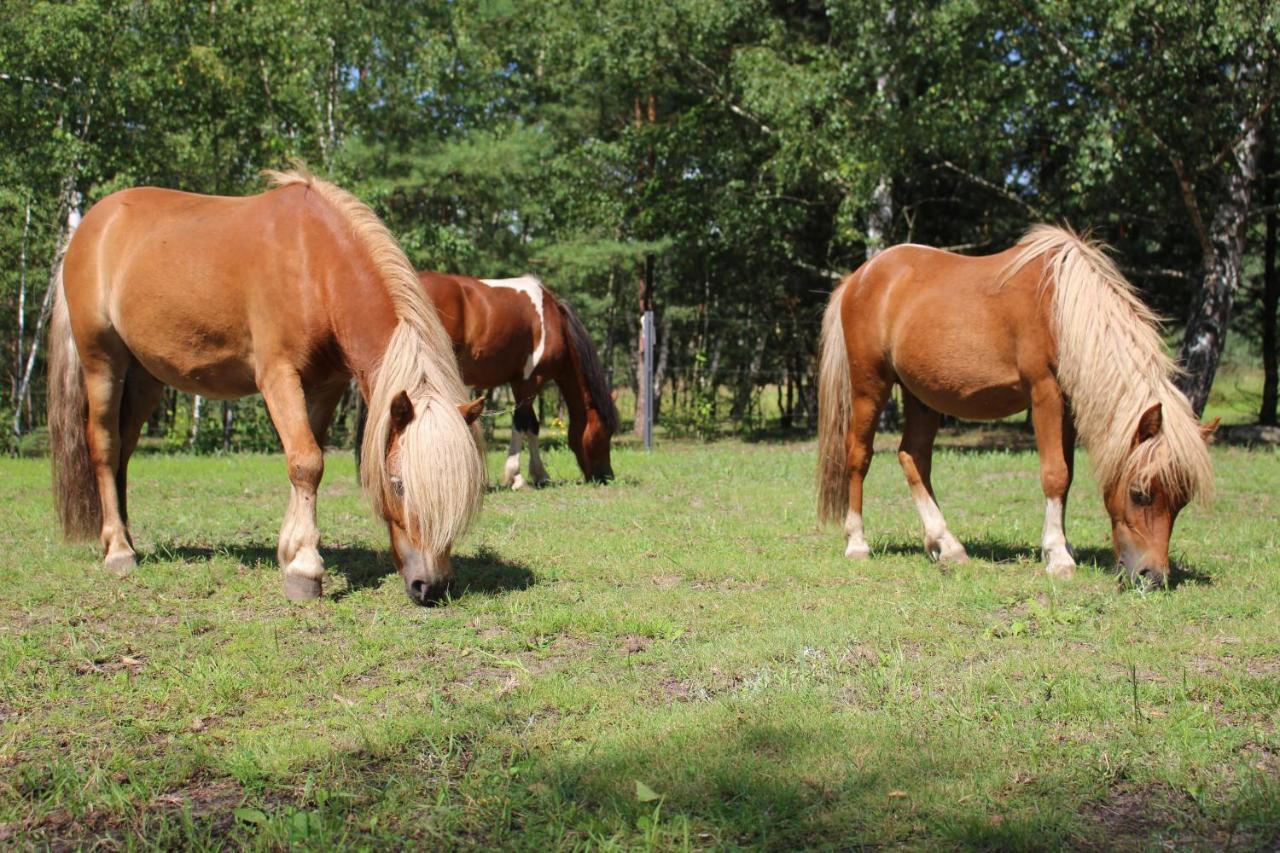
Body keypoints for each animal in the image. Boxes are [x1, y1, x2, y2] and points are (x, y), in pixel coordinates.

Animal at [49, 167, 483, 604]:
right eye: (398, 484)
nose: (431, 586)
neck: (316, 264)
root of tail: (90, 227)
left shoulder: (325, 386)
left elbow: (307, 457)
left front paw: (289, 551)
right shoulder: (279, 376)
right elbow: (306, 463)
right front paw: (306, 569)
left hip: (144, 379)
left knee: (124, 450)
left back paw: (125, 538)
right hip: (103, 364)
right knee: (105, 447)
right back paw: (119, 551)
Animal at [419, 272, 619, 484]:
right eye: (605, 433)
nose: (607, 476)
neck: (553, 320)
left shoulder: (520, 383)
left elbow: (532, 425)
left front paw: (540, 474)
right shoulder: (530, 381)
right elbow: (521, 422)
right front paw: (515, 476)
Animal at [814, 225, 1213, 584]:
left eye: (1182, 501)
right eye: (1139, 493)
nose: (1152, 577)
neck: (1062, 307)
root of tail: (859, 277)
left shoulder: (1068, 407)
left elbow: (1067, 476)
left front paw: (1061, 546)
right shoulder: (1044, 393)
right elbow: (1055, 474)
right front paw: (1058, 556)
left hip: (920, 396)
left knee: (914, 458)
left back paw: (946, 545)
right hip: (869, 387)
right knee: (859, 457)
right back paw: (858, 543)